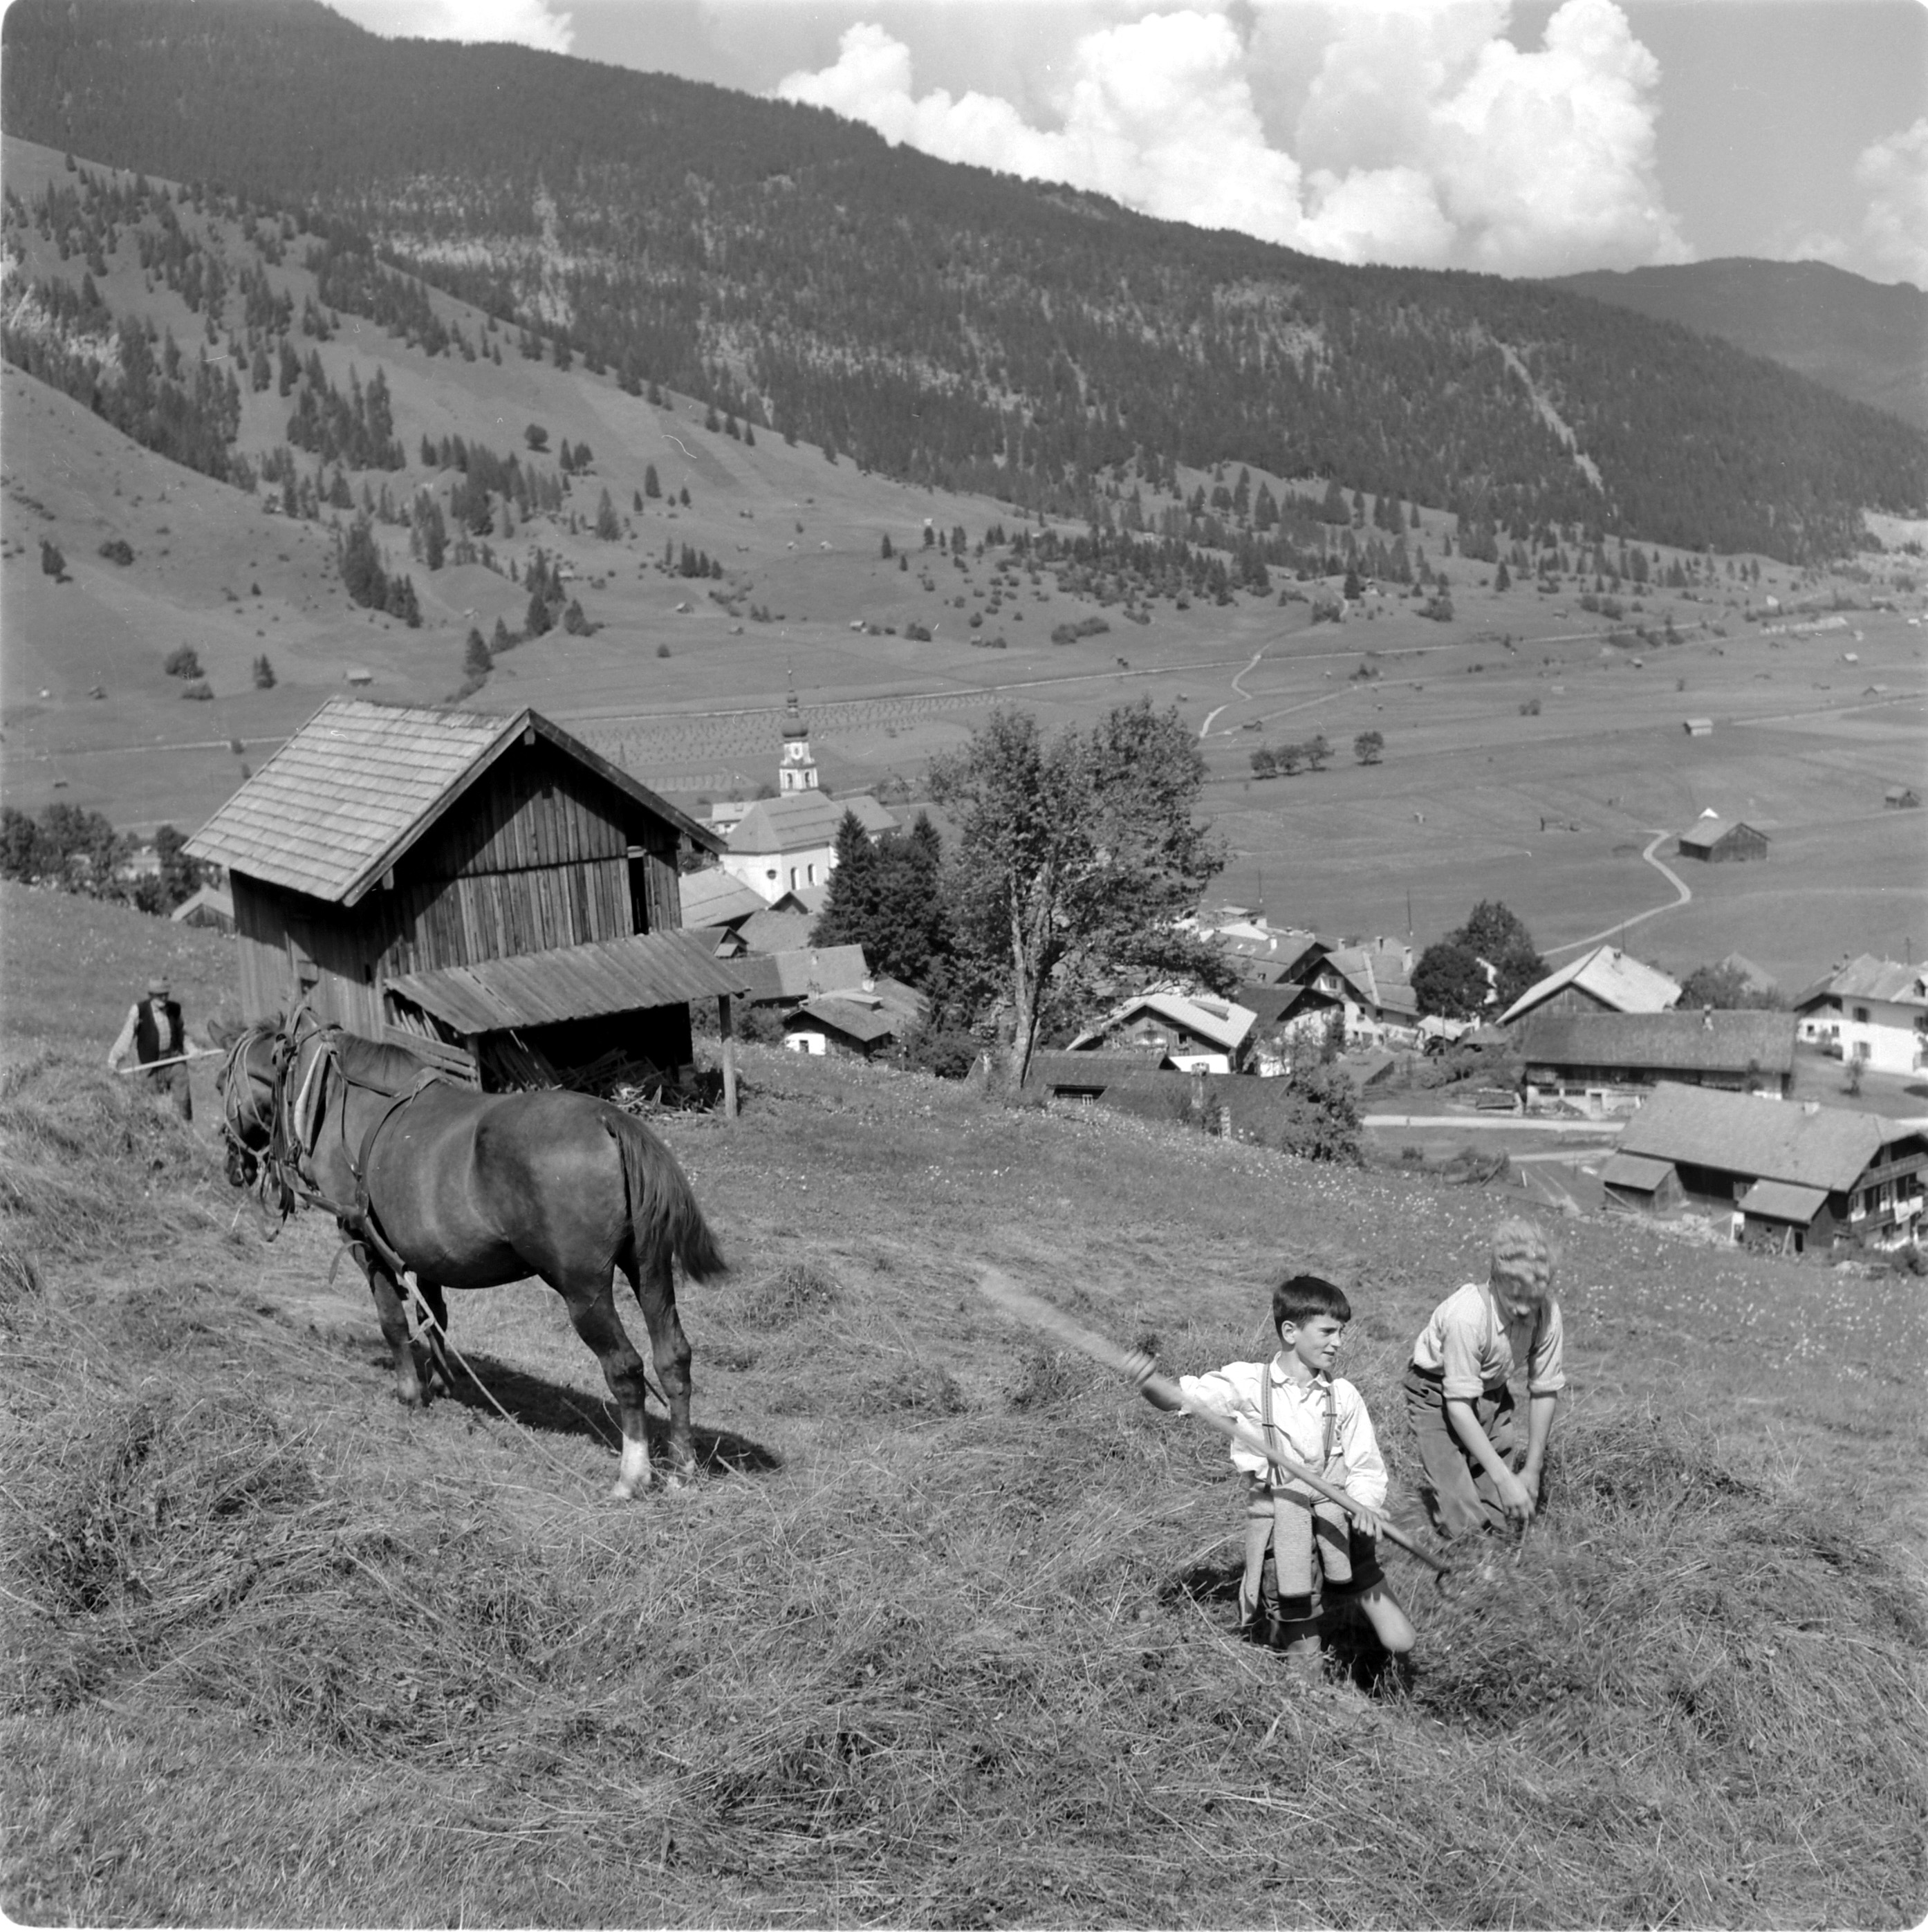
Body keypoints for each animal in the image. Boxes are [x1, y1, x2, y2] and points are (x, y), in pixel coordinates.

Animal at [219, 1012, 726, 1491]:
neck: (345, 1101)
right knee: (673, 1358)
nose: (232, 1162)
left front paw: (410, 1392)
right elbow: (434, 1316)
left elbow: (392, 1320)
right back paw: (683, 1467)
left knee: (626, 1369)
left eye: (223, 1080)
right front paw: (443, 1380)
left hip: (585, 1291)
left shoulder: (364, 1243)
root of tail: (610, 1121)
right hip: (650, 1270)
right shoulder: (426, 1254)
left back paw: (633, 1474)